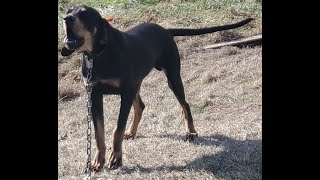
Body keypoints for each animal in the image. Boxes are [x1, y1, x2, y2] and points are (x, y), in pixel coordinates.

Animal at [61, 3, 254, 170]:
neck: (98, 55)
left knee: (184, 104)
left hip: (172, 77)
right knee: (140, 106)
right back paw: (131, 132)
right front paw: (97, 161)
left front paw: (115, 158)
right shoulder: (94, 94)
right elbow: (98, 133)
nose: (66, 18)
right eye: (69, 10)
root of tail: (166, 30)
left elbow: (117, 129)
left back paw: (191, 132)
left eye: (85, 14)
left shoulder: (125, 92)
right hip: (137, 84)